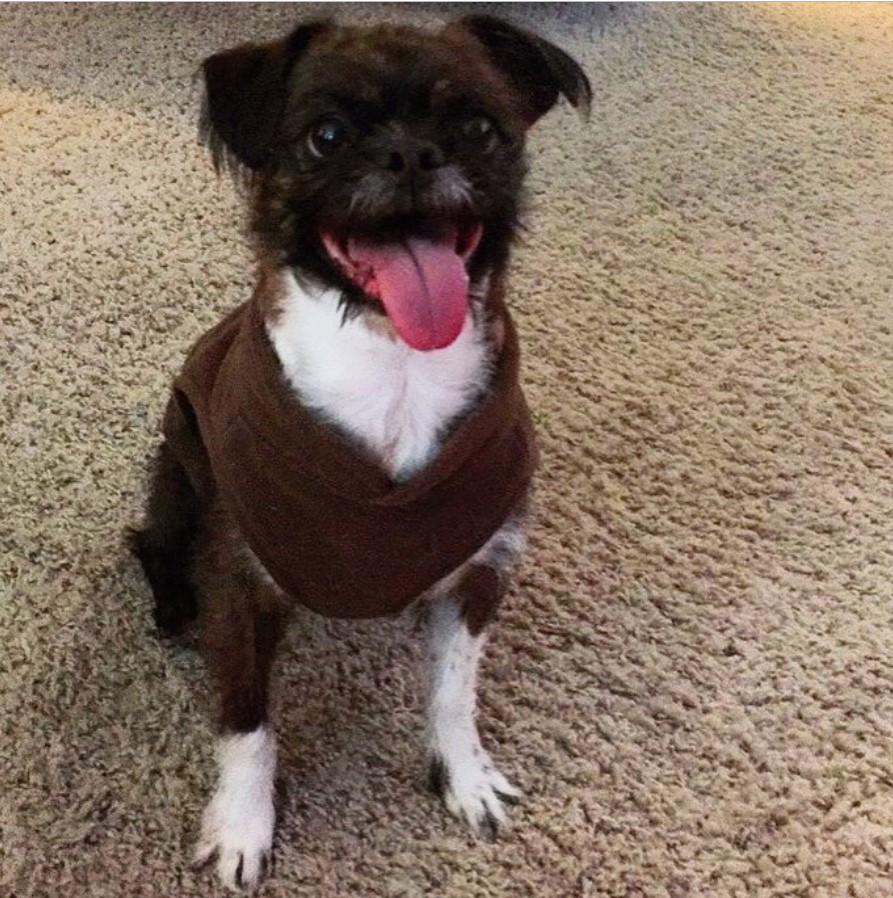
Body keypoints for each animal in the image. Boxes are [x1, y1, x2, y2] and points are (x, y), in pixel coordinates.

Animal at [129, 15, 588, 888]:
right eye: (327, 135)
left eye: (478, 127)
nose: (410, 154)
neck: (395, 367)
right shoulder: (238, 582)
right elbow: (246, 719)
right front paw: (242, 825)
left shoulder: (482, 571)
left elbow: (453, 690)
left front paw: (463, 775)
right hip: (174, 482)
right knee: (148, 545)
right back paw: (172, 609)